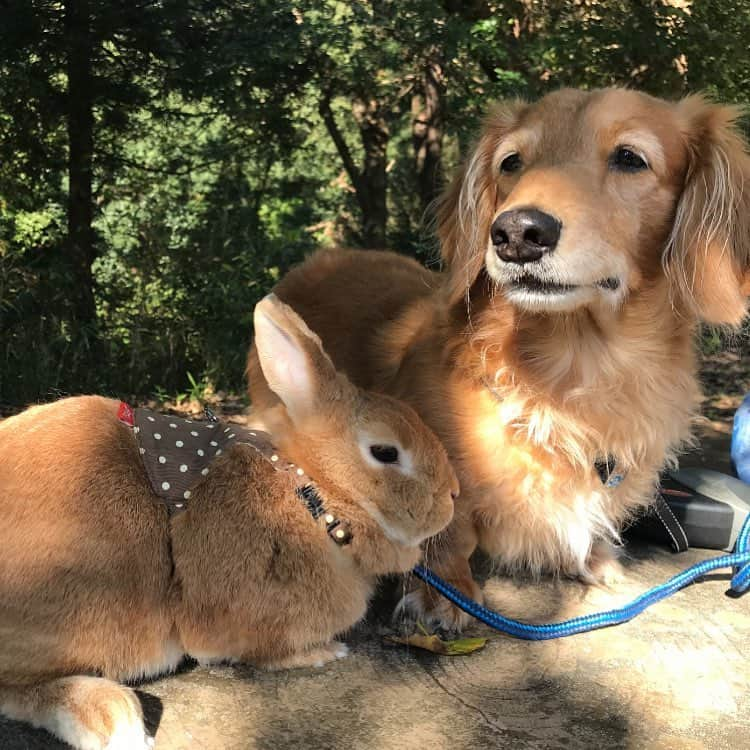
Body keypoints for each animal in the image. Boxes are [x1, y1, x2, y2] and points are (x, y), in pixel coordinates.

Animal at [0, 296, 458, 750]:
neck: (311, 493)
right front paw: (325, 653)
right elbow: (263, 651)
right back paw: (112, 719)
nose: (453, 495)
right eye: (385, 452)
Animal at [250, 86, 750, 628]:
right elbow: (449, 528)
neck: (570, 375)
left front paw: (595, 558)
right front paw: (445, 592)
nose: (516, 233)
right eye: (511, 162)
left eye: (630, 158)